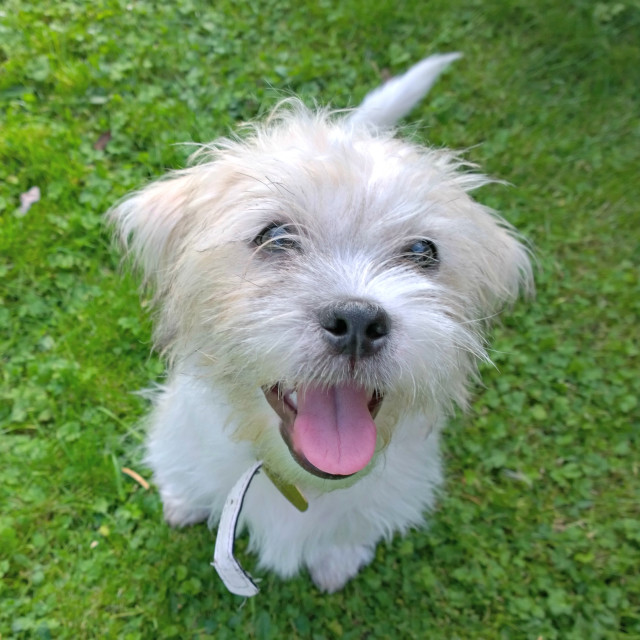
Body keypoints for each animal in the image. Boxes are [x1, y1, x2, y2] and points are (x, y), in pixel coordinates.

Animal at [109, 55, 528, 596]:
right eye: (275, 236)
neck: (300, 481)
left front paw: (337, 559)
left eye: (422, 251)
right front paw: (183, 502)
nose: (358, 320)